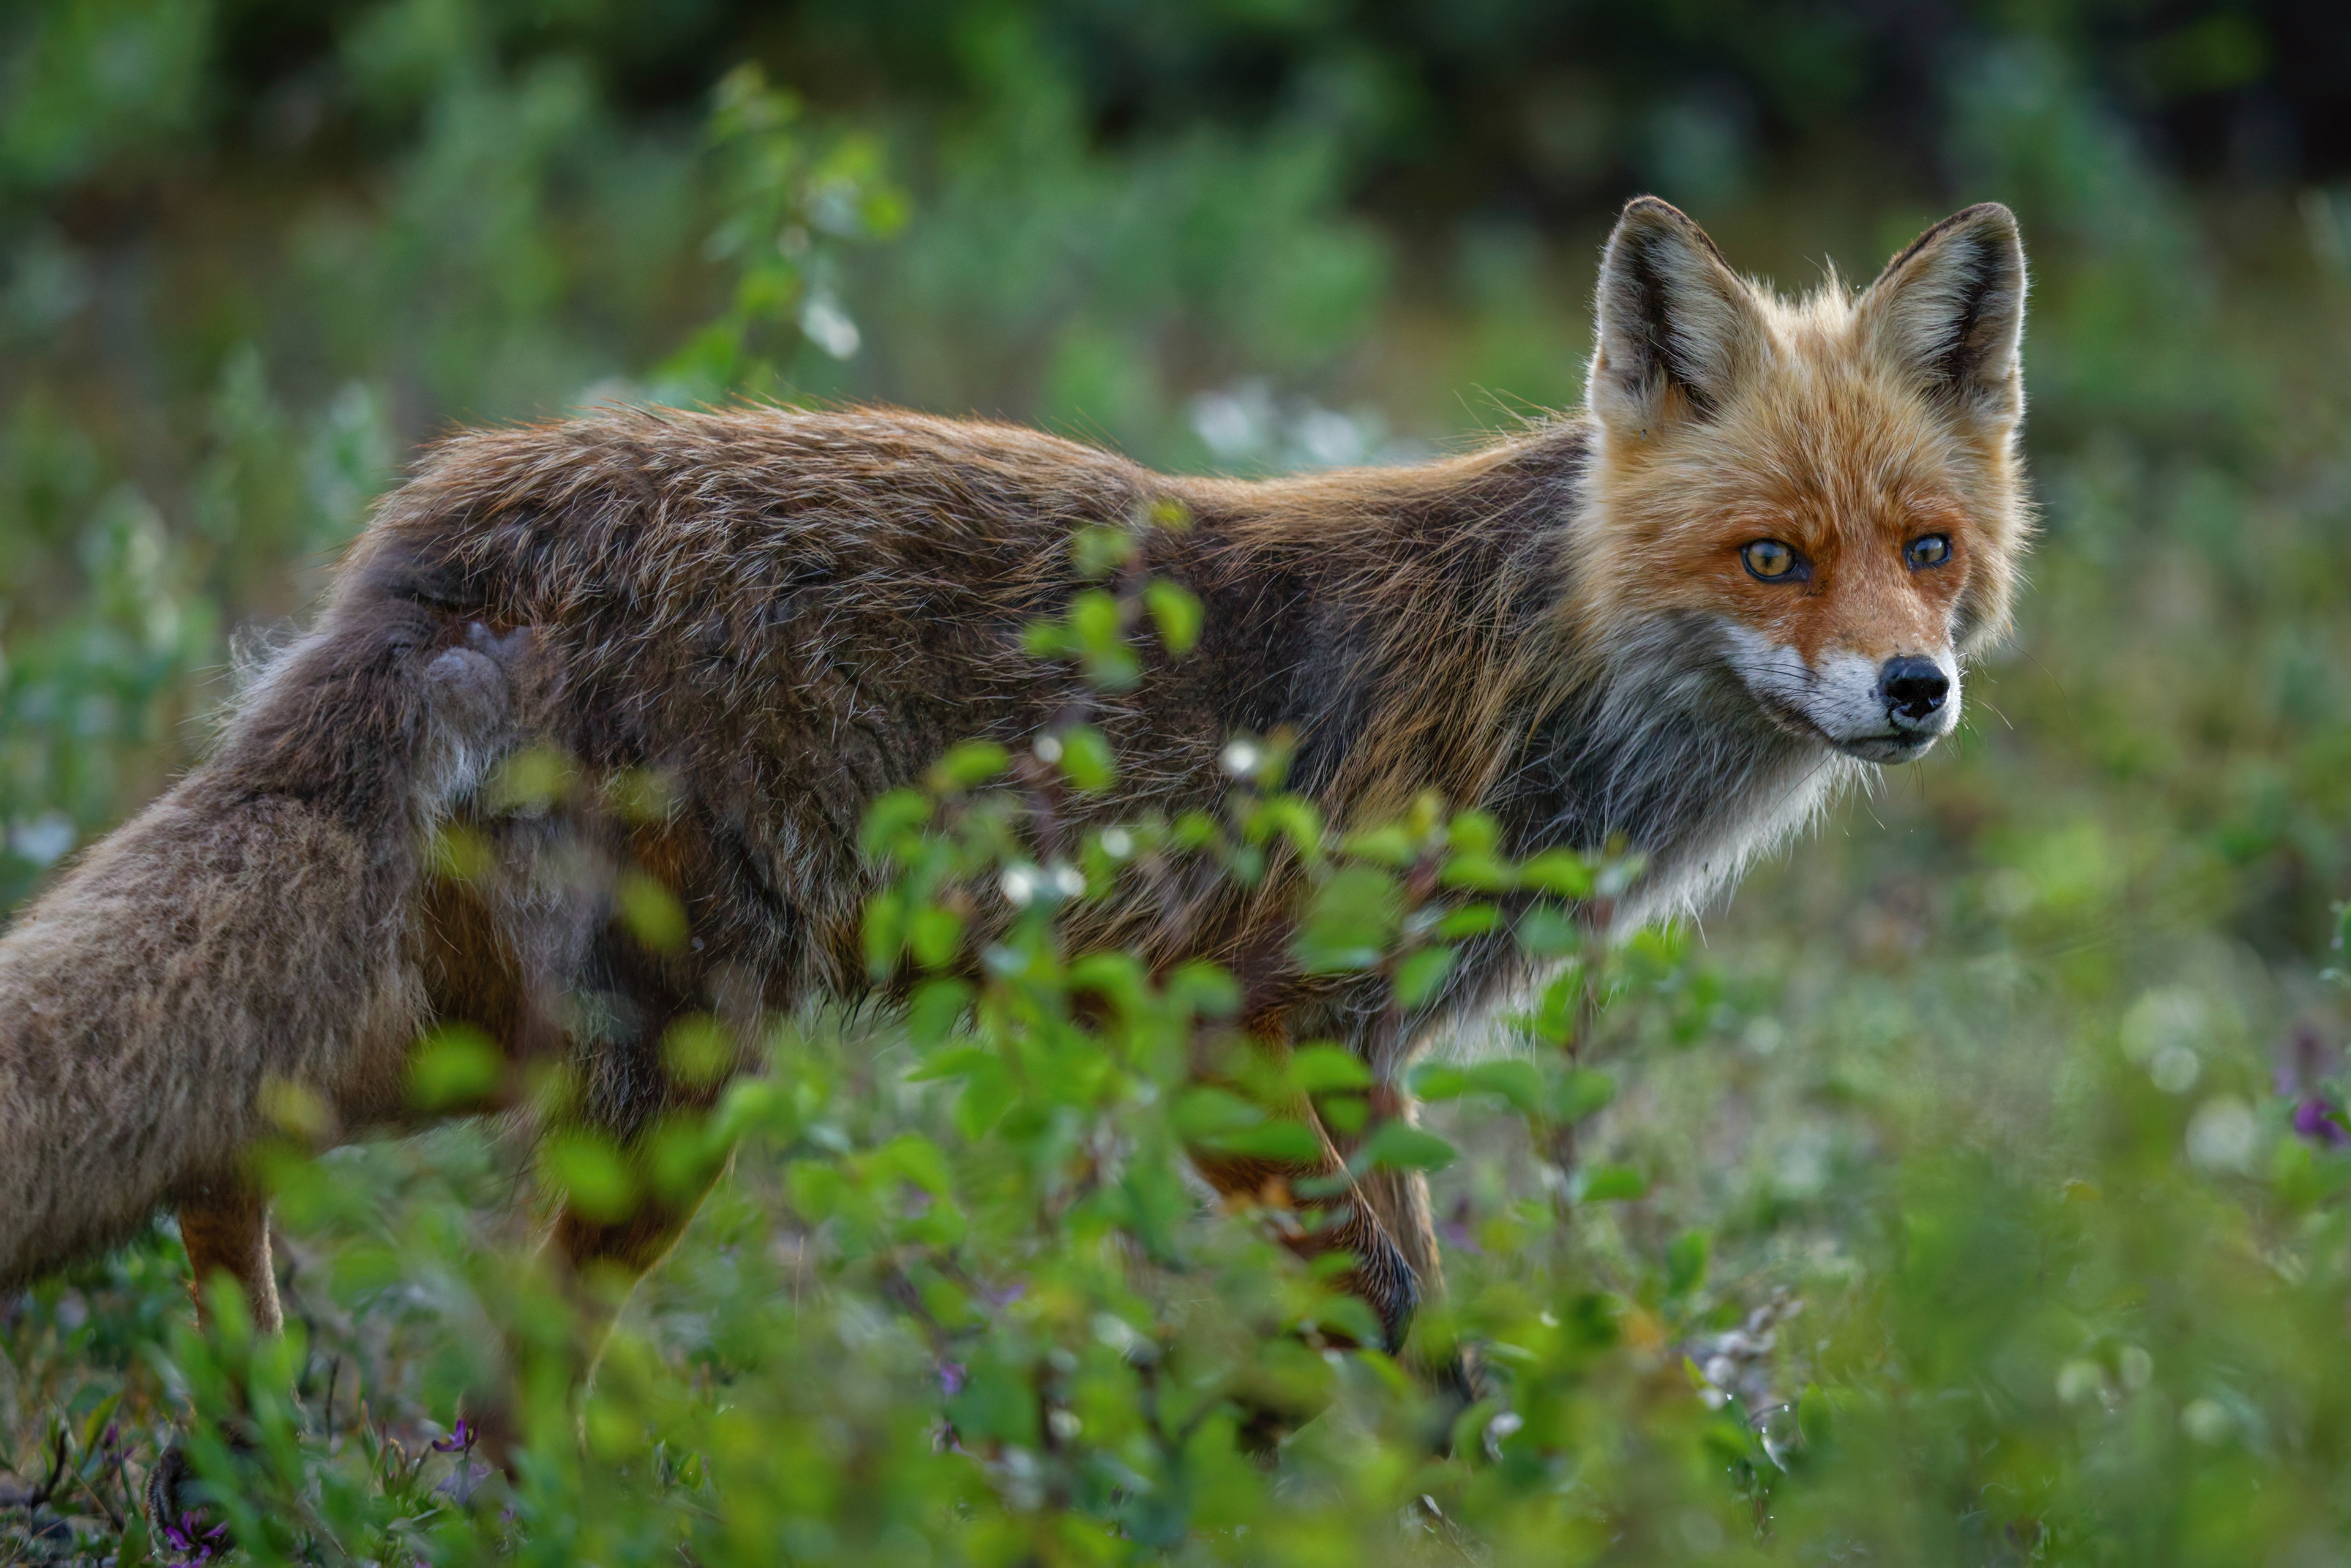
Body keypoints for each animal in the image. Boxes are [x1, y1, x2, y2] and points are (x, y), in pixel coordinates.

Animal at [0, 197, 2028, 1444]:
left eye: (1927, 550)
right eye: (1771, 558)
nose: (1910, 692)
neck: (1528, 675)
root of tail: (447, 507)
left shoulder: (1355, 1055)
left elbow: (1412, 1324)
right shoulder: (1228, 1031)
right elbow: (1395, 1321)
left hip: (505, 1033)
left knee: (229, 1139)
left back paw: (253, 1428)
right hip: (668, 1077)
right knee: (492, 1372)